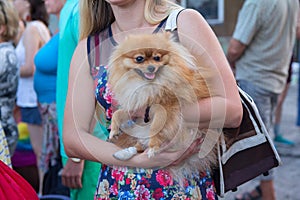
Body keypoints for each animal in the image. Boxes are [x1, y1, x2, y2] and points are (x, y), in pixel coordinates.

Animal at [106, 32, 221, 180]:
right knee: (139, 144)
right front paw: (114, 130)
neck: (147, 84)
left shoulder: (167, 108)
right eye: (139, 59)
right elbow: (117, 114)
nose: (151, 67)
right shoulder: (137, 106)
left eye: (157, 58)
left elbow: (156, 126)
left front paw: (154, 147)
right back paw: (123, 153)